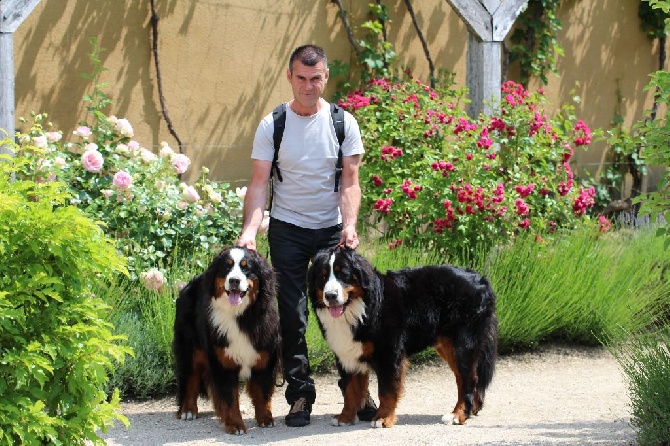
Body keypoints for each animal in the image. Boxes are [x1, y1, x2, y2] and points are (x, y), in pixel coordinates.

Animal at [173, 246, 280, 434]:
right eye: (227, 266)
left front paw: (265, 418)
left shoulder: (265, 357)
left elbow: (263, 393)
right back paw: (188, 410)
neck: (240, 316)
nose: (234, 280)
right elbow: (229, 399)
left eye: (246, 267)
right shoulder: (223, 361)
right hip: (190, 349)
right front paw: (235, 425)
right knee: (190, 378)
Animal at [310, 247, 498, 428]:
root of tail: (481, 280)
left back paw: (458, 415)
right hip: (448, 346)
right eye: (323, 276)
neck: (360, 309)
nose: (330, 295)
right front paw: (346, 417)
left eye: (344, 275)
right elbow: (351, 390)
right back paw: (470, 410)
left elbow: (386, 391)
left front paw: (383, 418)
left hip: (462, 344)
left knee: (468, 379)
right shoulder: (347, 355)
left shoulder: (389, 353)